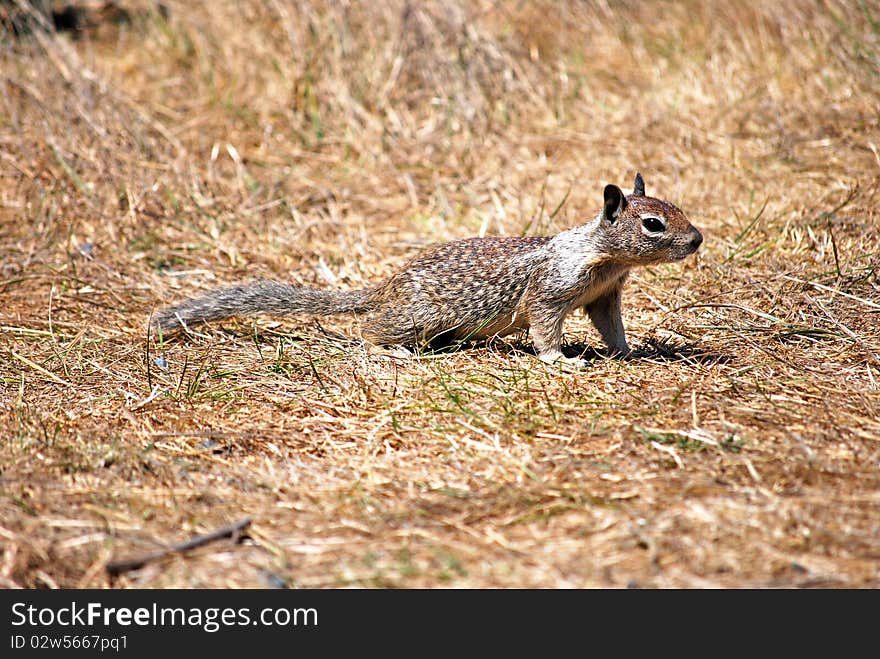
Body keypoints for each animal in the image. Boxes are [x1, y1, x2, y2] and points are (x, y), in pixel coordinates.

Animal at [151, 174, 700, 366]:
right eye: (653, 224)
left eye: (675, 207)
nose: (697, 239)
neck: (602, 255)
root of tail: (384, 287)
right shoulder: (550, 291)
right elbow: (544, 328)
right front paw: (560, 359)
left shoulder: (606, 295)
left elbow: (612, 326)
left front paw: (630, 351)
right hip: (419, 316)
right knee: (368, 331)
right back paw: (395, 351)